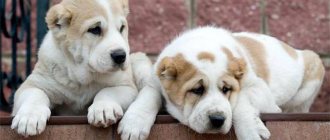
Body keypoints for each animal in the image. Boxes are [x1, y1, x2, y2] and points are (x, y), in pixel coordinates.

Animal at [9, 0, 153, 137]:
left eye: (122, 28)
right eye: (95, 29)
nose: (120, 56)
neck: (82, 80)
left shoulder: (126, 86)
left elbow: (108, 91)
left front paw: (103, 108)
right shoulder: (34, 83)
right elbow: (35, 94)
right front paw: (29, 118)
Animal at [119, 26, 324, 140]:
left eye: (226, 89)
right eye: (197, 90)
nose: (218, 119)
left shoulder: (260, 91)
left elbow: (241, 101)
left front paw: (252, 131)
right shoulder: (155, 80)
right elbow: (148, 95)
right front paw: (134, 124)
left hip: (313, 66)